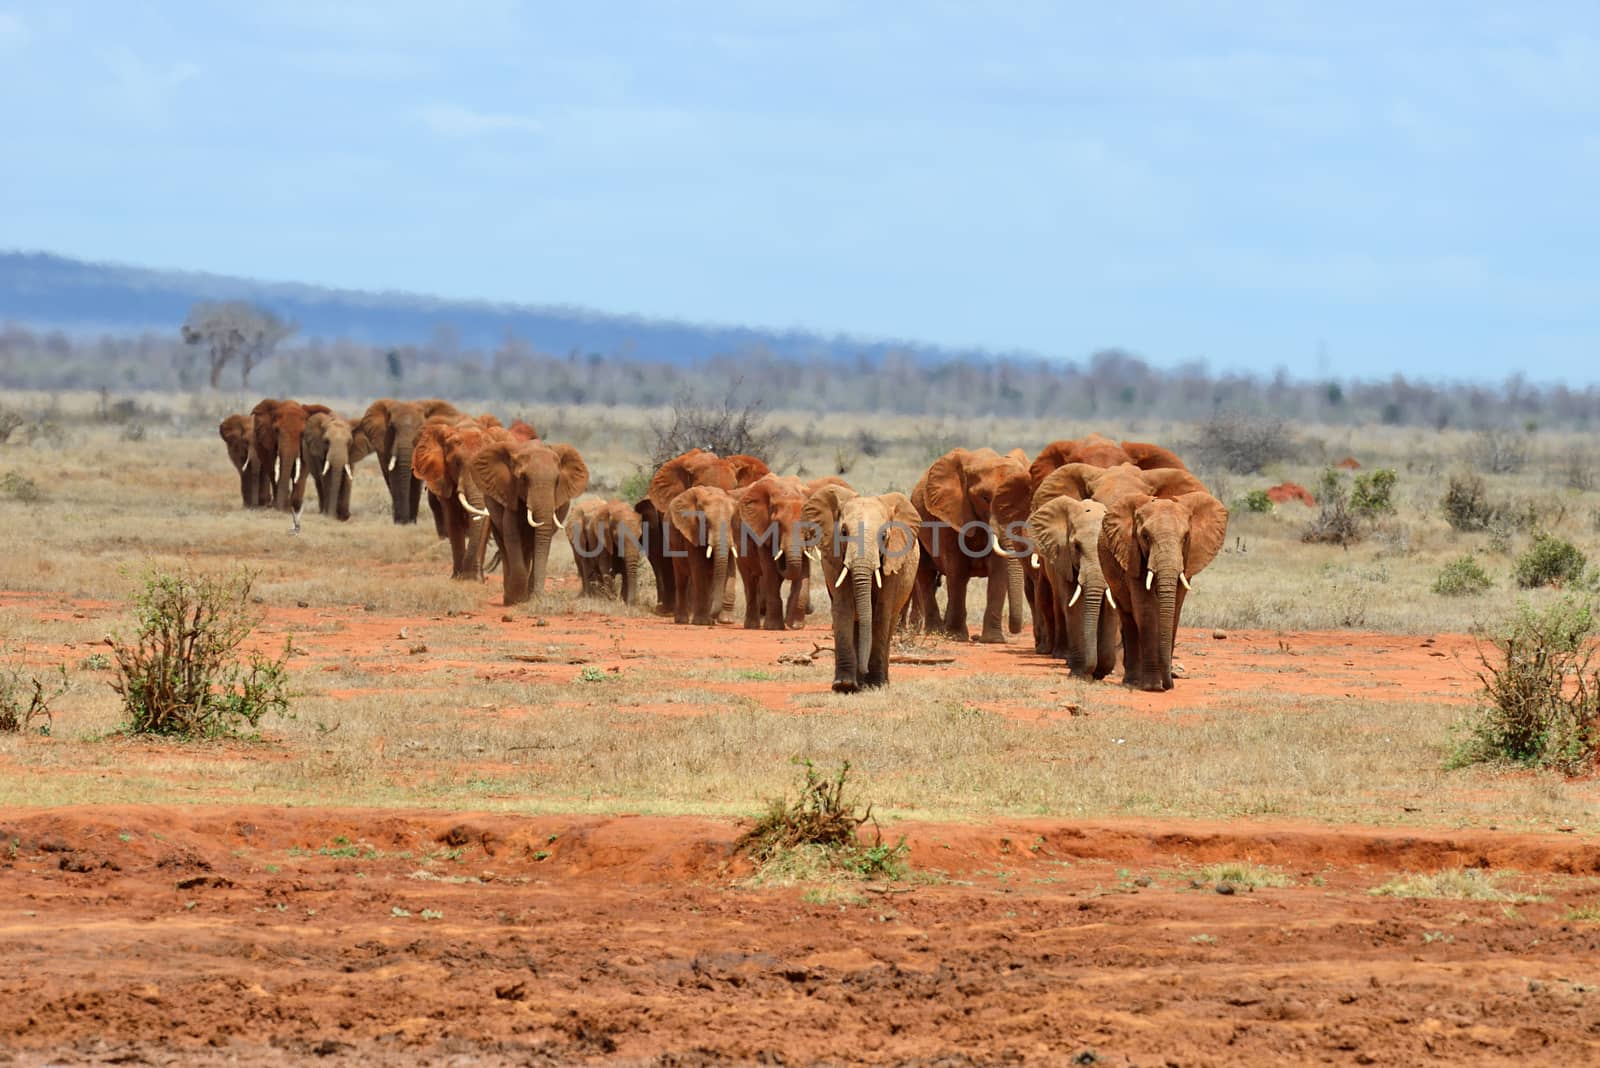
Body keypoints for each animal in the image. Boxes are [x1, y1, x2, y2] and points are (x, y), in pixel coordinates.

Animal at [409, 422, 496, 578]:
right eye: (457, 463)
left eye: (486, 466)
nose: (465, 574)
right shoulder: (444, 479)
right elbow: (453, 520)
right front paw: (457, 578)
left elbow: (485, 522)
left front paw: (473, 579)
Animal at [467, 438, 588, 604]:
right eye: (523, 478)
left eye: (557, 481)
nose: (540, 595)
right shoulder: (510, 493)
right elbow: (511, 535)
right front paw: (516, 598)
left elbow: (542, 540)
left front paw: (532, 598)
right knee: (504, 544)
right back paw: (510, 596)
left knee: (529, 546)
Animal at [662, 486, 736, 626]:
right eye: (706, 522)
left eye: (731, 520)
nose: (713, 618)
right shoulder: (692, 531)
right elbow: (699, 570)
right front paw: (702, 622)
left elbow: (730, 568)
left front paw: (725, 621)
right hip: (673, 546)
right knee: (681, 580)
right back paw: (682, 620)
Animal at [800, 482, 928, 693]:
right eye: (843, 532)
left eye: (884, 536)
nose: (864, 670)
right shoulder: (835, 559)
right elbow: (843, 608)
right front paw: (844, 685)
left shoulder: (892, 561)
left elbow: (881, 612)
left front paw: (875, 684)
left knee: (889, 621)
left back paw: (880, 682)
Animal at [908, 447, 1030, 642]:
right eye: (985, 498)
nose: (976, 638)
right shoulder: (951, 515)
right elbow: (957, 569)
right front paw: (956, 637)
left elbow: (999, 571)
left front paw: (993, 640)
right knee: (926, 574)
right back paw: (936, 632)